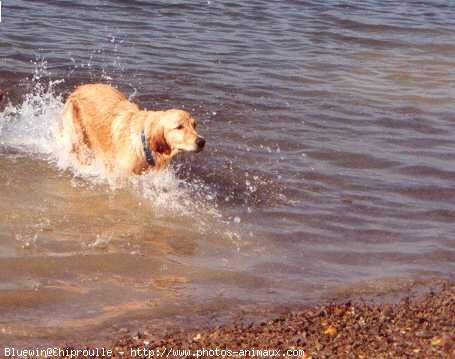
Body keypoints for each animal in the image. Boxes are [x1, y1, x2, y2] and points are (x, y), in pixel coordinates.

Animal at [61, 83, 207, 176]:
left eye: (194, 125)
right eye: (179, 127)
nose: (202, 141)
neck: (144, 144)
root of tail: (79, 88)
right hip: (77, 135)